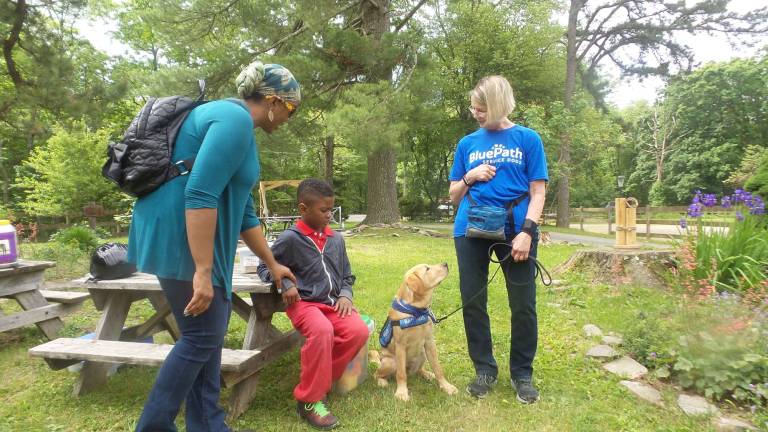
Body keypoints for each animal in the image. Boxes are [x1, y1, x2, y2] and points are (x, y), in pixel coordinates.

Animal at [370, 264, 456, 402]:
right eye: (427, 269)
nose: (446, 264)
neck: (416, 311)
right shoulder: (400, 346)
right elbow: (401, 374)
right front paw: (402, 393)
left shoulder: (430, 342)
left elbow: (438, 368)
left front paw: (446, 386)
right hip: (390, 362)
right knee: (378, 374)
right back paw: (382, 381)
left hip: (422, 353)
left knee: (419, 370)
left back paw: (427, 374)